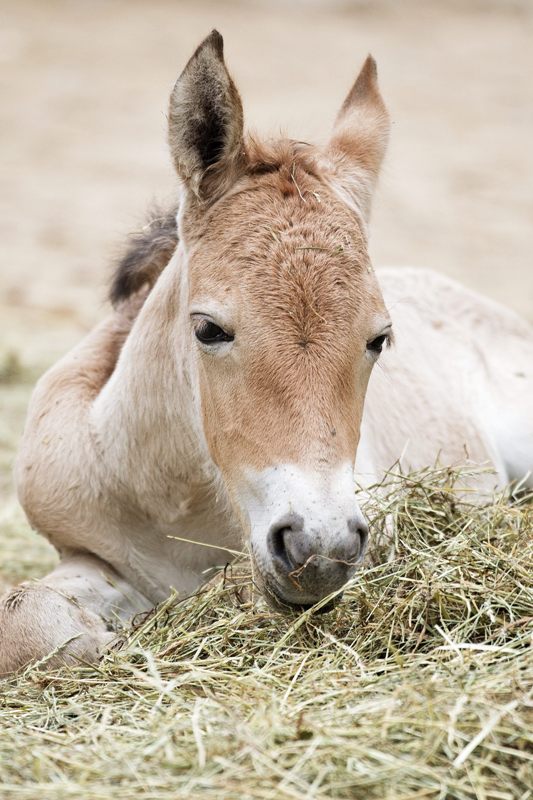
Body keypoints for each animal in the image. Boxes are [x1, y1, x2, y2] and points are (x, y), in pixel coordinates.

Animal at [2, 32, 528, 676]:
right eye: (207, 329)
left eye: (379, 338)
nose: (319, 550)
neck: (177, 499)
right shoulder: (88, 550)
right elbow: (25, 618)